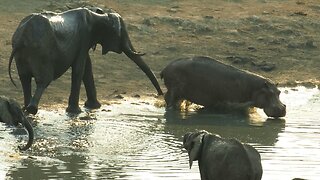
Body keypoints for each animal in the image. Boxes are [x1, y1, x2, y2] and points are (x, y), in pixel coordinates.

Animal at [8, 7, 164, 114]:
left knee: (25, 79)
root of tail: (22, 37)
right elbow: (80, 68)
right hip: (41, 53)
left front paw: (94, 107)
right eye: (121, 35)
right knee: (43, 80)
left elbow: (87, 68)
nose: (160, 95)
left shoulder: (85, 41)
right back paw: (32, 110)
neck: (100, 15)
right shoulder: (84, 37)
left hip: (22, 54)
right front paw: (75, 111)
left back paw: (25, 109)